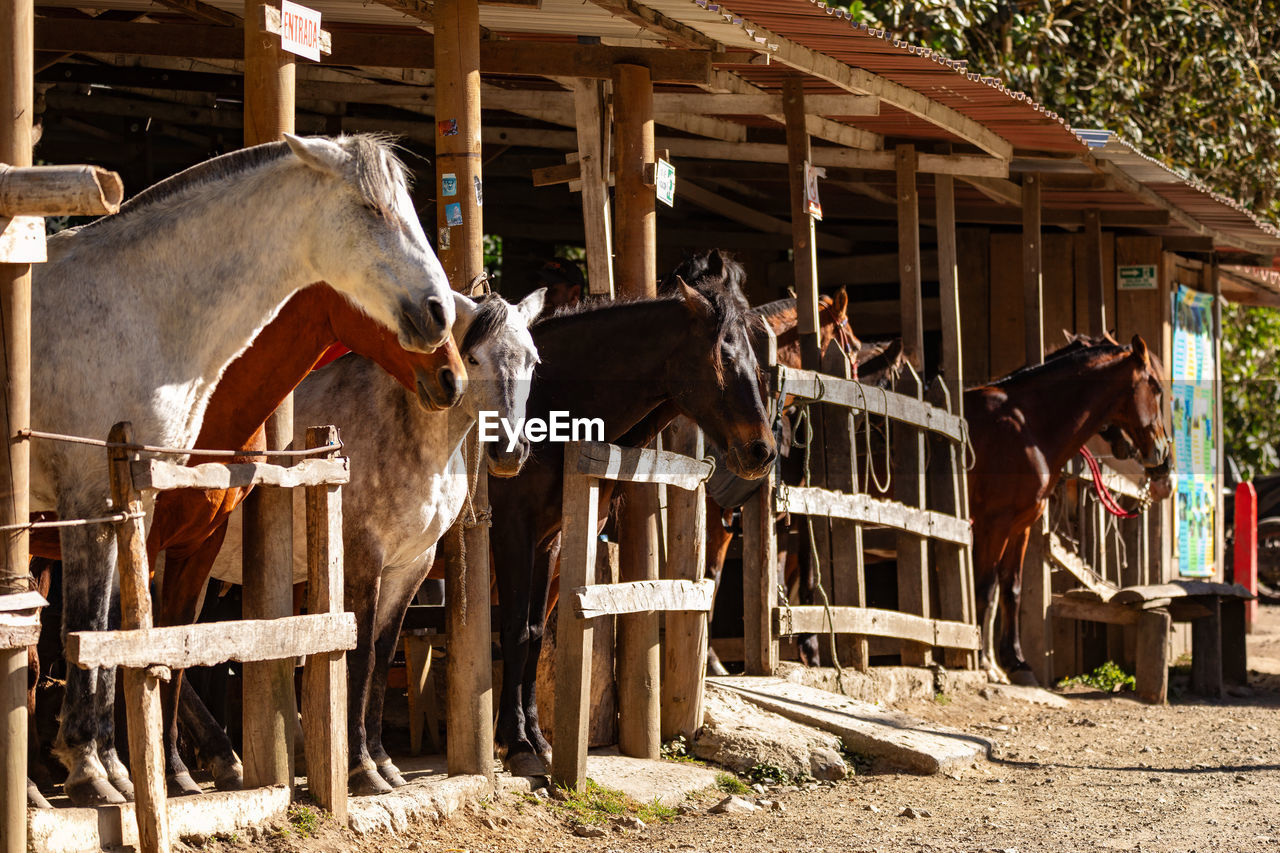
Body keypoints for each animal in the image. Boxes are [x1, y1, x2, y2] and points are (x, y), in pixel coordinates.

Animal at [32, 134, 460, 804]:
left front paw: (151, 769)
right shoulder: (97, 505)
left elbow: (157, 642)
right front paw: (95, 767)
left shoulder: (172, 536)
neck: (142, 308)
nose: (450, 369)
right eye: (372, 210)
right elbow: (101, 630)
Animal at [486, 249, 768, 773]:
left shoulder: (549, 540)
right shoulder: (512, 532)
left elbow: (533, 633)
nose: (762, 451)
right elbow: (513, 630)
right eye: (724, 358)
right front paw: (515, 743)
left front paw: (533, 738)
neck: (547, 402)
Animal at [967, 333, 1172, 686]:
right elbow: (986, 589)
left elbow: (1011, 589)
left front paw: (1016, 662)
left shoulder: (1019, 525)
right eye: (1156, 388)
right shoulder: (992, 525)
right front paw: (985, 663)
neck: (1026, 426)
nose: (1163, 457)